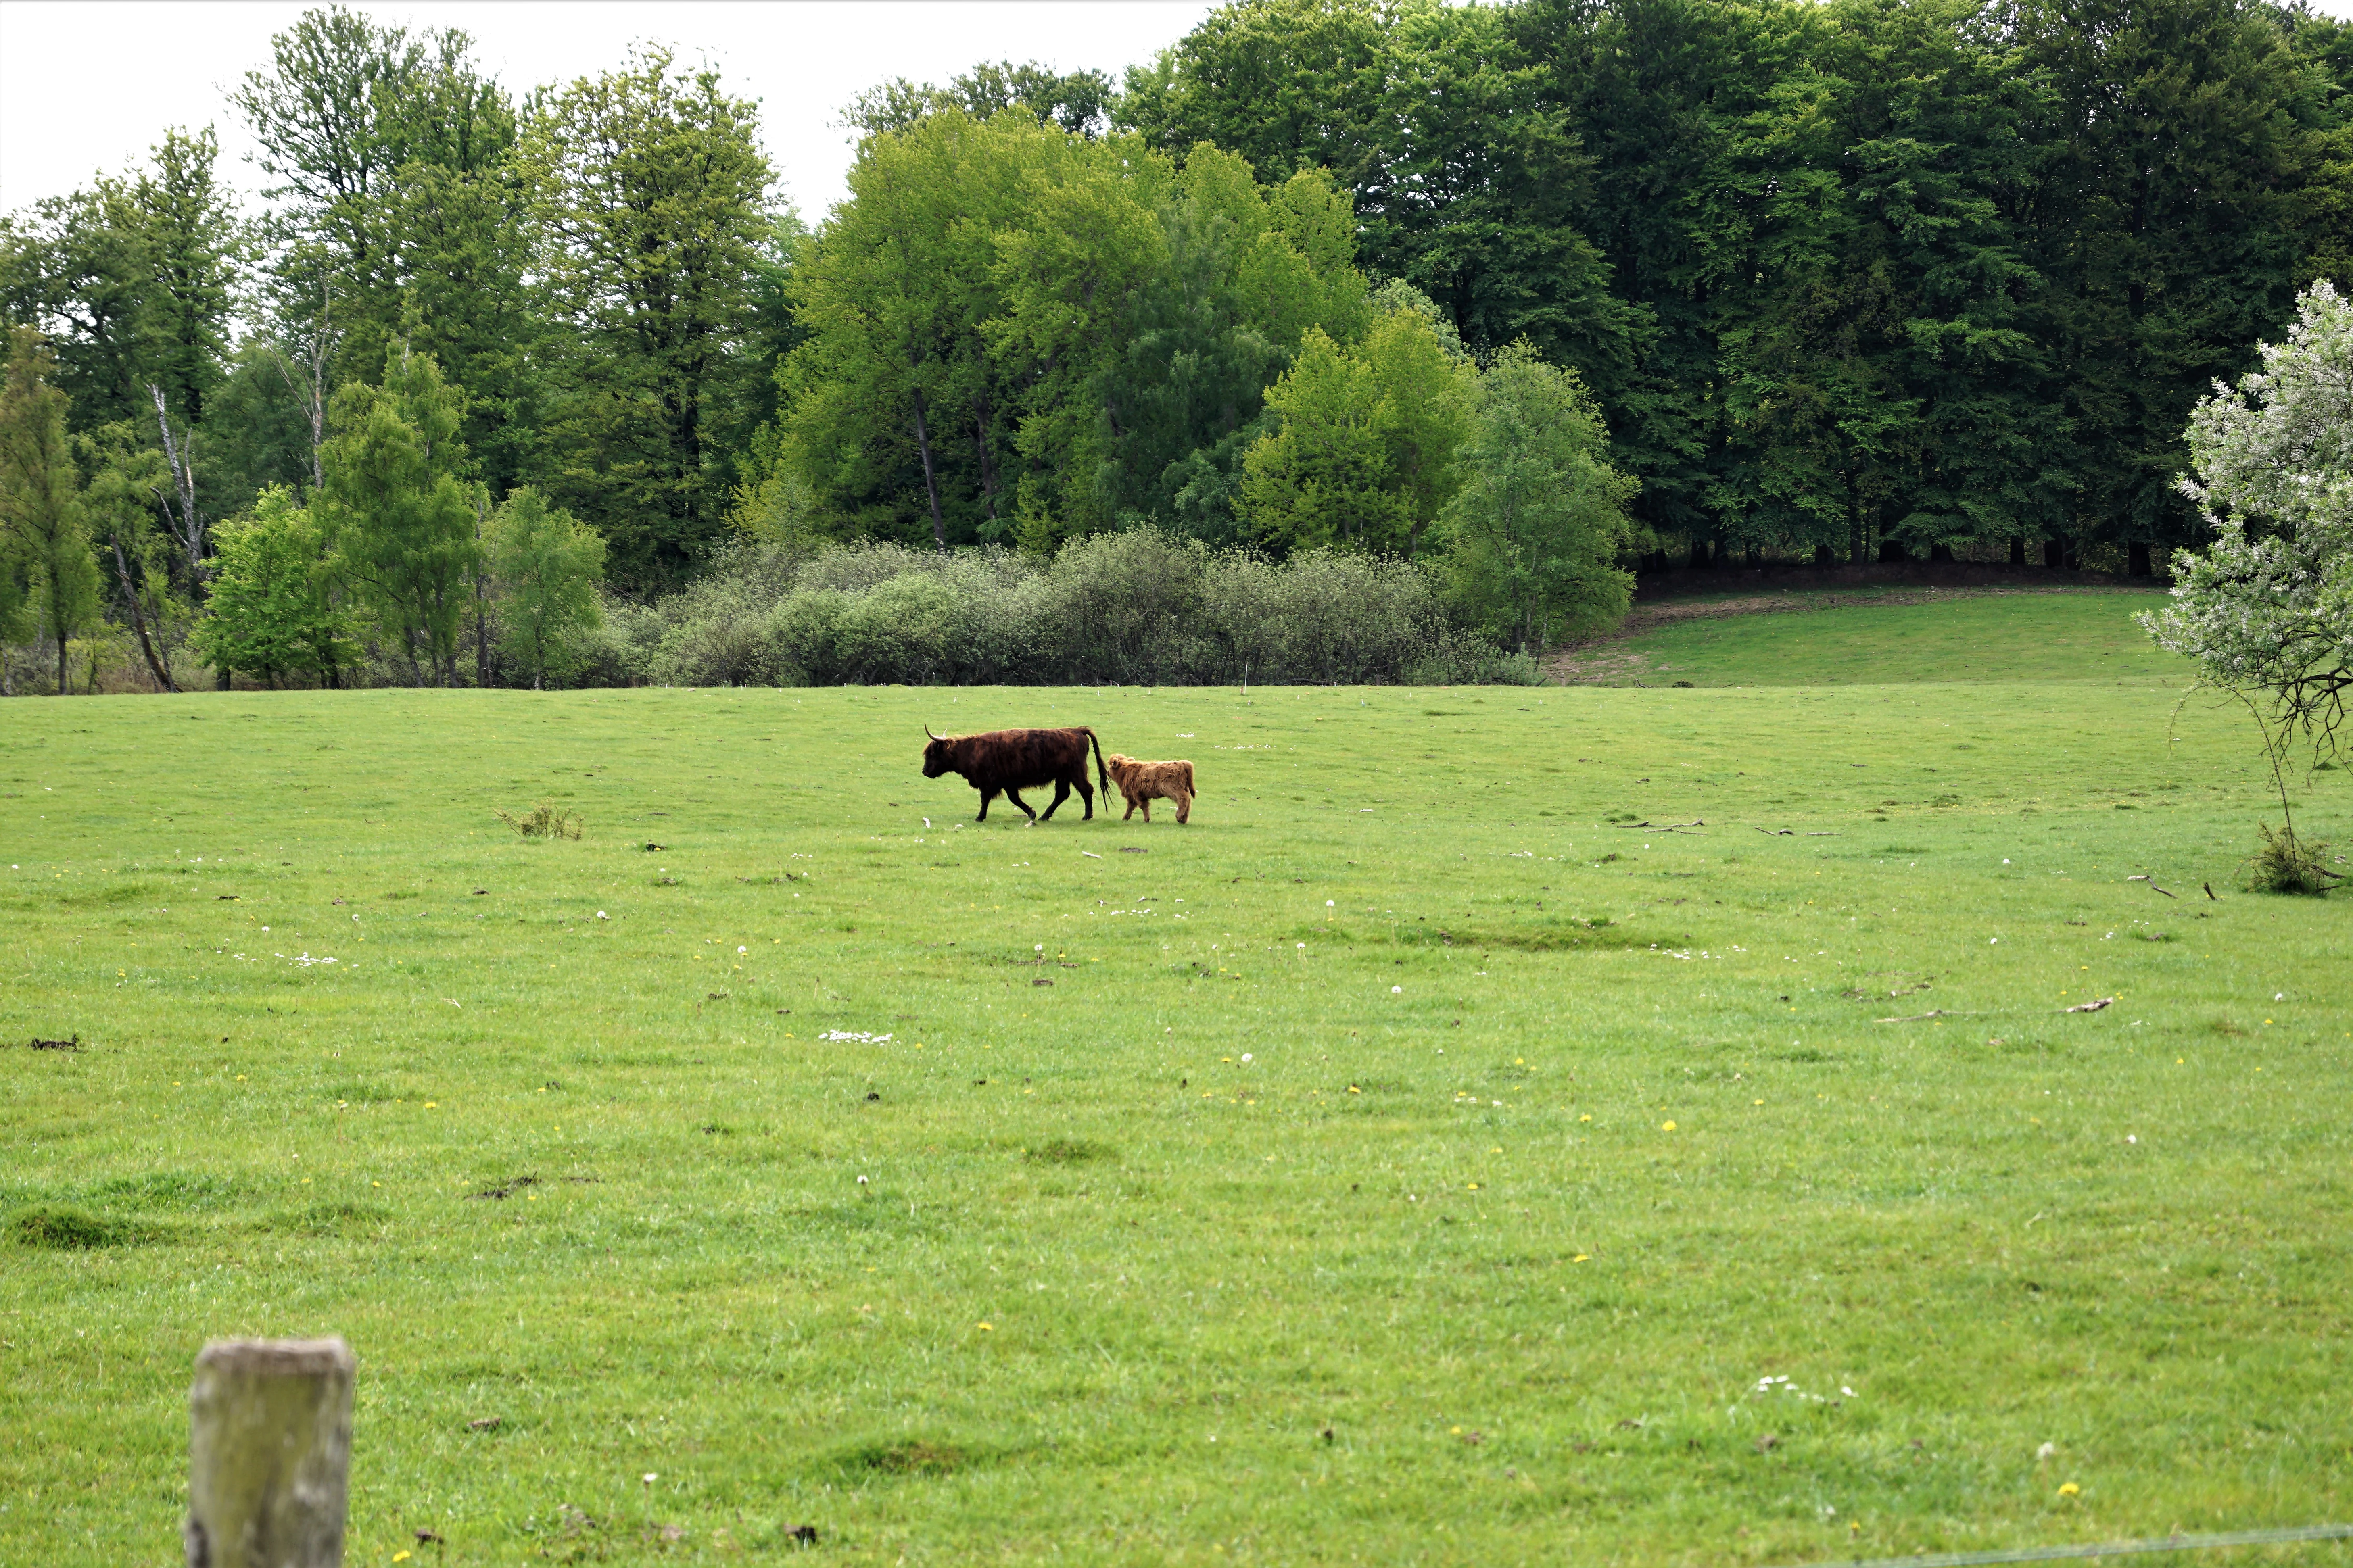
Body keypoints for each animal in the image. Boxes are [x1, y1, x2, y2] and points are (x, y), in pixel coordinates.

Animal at [921, 725, 1111, 823]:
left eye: (932, 754)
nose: (924, 771)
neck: (971, 751)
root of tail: (1076, 730)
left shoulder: (989, 783)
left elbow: (985, 800)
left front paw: (980, 817)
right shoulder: (1008, 783)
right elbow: (1015, 799)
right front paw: (1032, 813)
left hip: (1075, 772)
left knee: (1086, 790)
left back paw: (1087, 816)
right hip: (1063, 776)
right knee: (1063, 795)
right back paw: (1044, 816)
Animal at [1104, 754, 1198, 824]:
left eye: (1110, 766)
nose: (1107, 773)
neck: (1126, 772)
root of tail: (1181, 763)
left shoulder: (1138, 795)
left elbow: (1143, 806)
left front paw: (1146, 820)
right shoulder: (1132, 796)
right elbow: (1131, 807)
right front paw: (1125, 818)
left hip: (1174, 790)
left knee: (1184, 800)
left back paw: (1179, 817)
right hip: (1183, 788)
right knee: (1188, 801)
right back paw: (1183, 820)